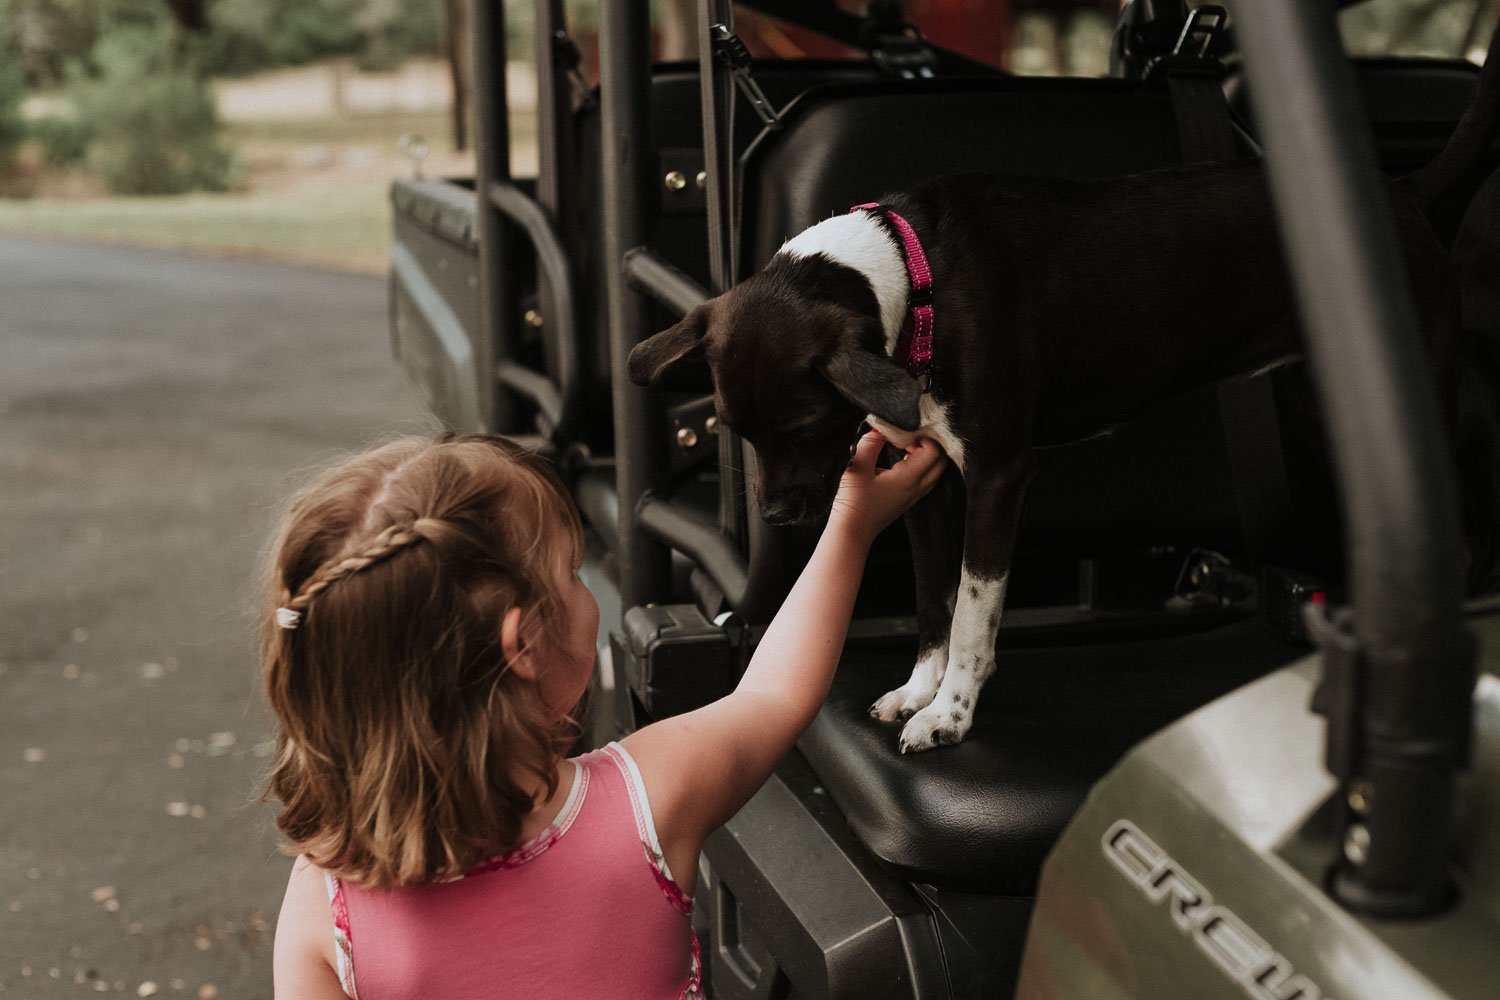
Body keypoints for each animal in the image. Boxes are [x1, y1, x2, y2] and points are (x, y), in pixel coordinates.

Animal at [627, 46, 1494, 749]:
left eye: (807, 426)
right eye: (733, 428)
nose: (775, 518)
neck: (917, 277)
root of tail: (1402, 194)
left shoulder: (998, 477)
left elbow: (973, 613)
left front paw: (950, 713)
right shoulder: (926, 480)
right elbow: (932, 602)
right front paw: (918, 689)